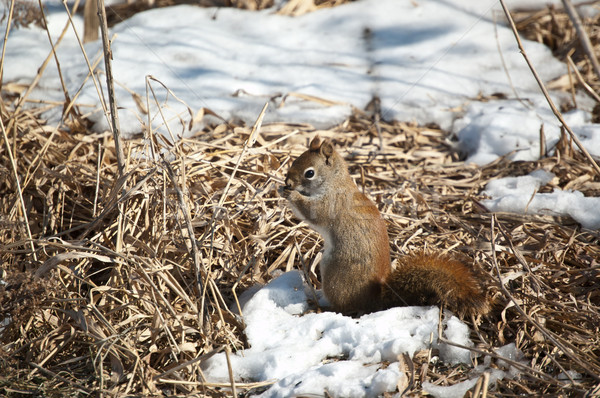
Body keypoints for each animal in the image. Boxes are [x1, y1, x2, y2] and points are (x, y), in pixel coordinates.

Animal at [278, 137, 490, 318]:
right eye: (295, 160)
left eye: (310, 173)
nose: (288, 182)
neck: (334, 183)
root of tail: (374, 299)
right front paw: (281, 188)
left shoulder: (330, 204)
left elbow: (312, 212)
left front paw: (291, 194)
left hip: (335, 273)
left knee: (343, 308)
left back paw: (321, 307)